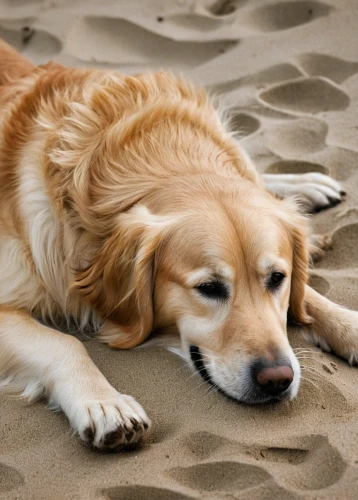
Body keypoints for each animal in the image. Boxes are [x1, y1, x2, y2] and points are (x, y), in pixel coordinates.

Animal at [0, 41, 356, 452]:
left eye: (277, 278)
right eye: (208, 288)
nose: (277, 379)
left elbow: (312, 297)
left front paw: (349, 324)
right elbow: (64, 342)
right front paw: (104, 403)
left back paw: (306, 186)